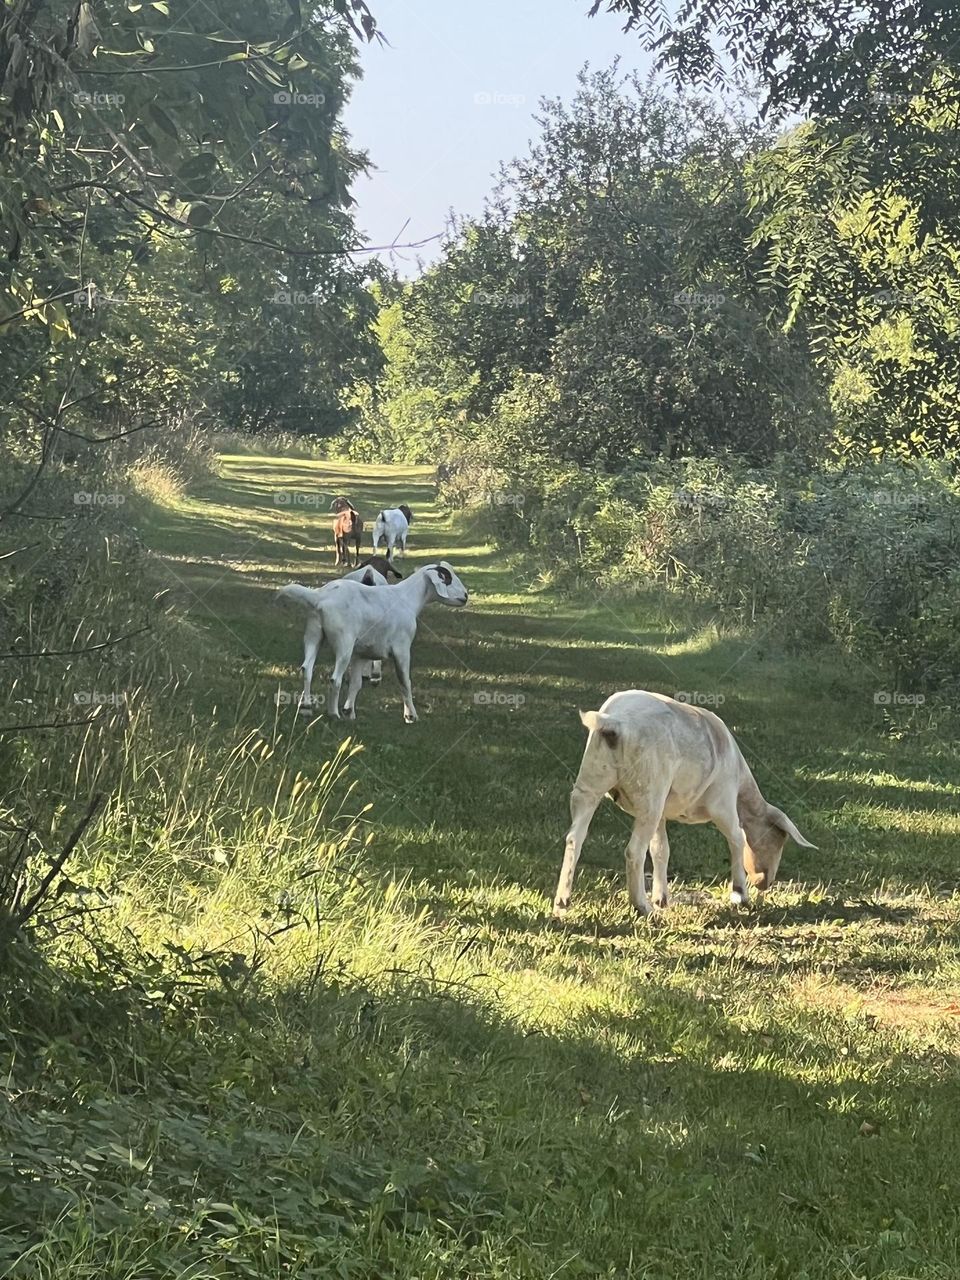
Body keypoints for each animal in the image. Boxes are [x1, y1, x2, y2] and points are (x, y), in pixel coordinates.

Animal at [278, 561, 467, 723]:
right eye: (447, 579)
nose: (465, 596)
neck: (408, 599)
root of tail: (319, 597)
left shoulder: (360, 653)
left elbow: (356, 684)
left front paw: (349, 712)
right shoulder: (402, 648)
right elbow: (405, 682)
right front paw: (410, 716)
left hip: (314, 633)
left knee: (307, 669)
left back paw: (306, 708)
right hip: (344, 642)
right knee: (335, 678)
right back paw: (333, 714)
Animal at [553, 690, 816, 917]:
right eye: (778, 840)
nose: (764, 883)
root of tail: (614, 723)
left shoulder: (662, 815)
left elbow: (661, 849)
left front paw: (662, 898)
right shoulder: (724, 803)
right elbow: (737, 839)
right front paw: (740, 894)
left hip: (590, 783)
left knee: (575, 838)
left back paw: (562, 901)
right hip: (650, 794)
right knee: (633, 851)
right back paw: (641, 906)